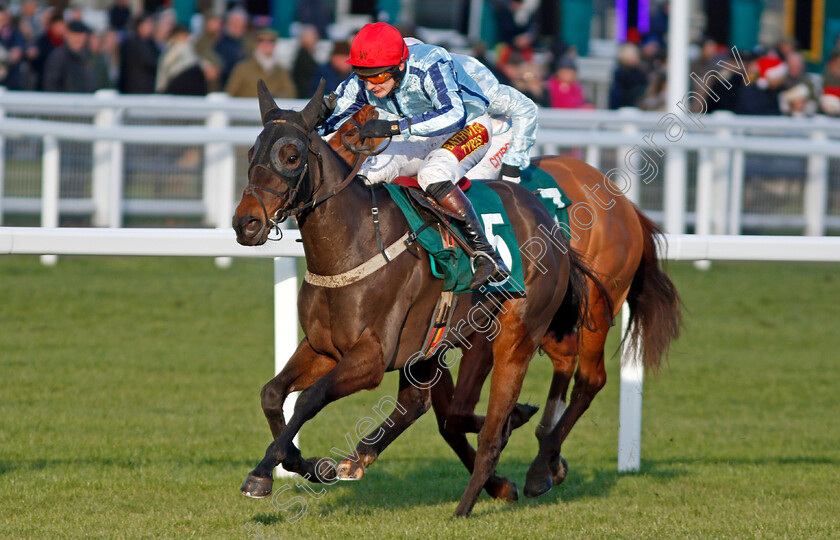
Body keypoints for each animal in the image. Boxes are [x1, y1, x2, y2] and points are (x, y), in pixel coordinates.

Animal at [231, 80, 596, 516]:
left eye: (291, 156)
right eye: (251, 153)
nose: (245, 223)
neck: (354, 244)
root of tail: (547, 217)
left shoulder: (371, 357)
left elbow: (308, 399)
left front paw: (261, 475)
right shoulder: (322, 348)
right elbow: (272, 394)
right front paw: (308, 466)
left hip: (516, 336)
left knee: (491, 432)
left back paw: (467, 505)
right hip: (430, 346)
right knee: (420, 406)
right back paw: (364, 456)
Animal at [326, 109, 684, 498]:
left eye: (346, 140)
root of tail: (623, 202)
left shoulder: (479, 331)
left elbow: (456, 412)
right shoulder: (430, 339)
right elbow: (447, 418)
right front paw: (498, 481)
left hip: (596, 306)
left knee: (591, 378)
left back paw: (541, 466)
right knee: (565, 357)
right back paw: (549, 456)